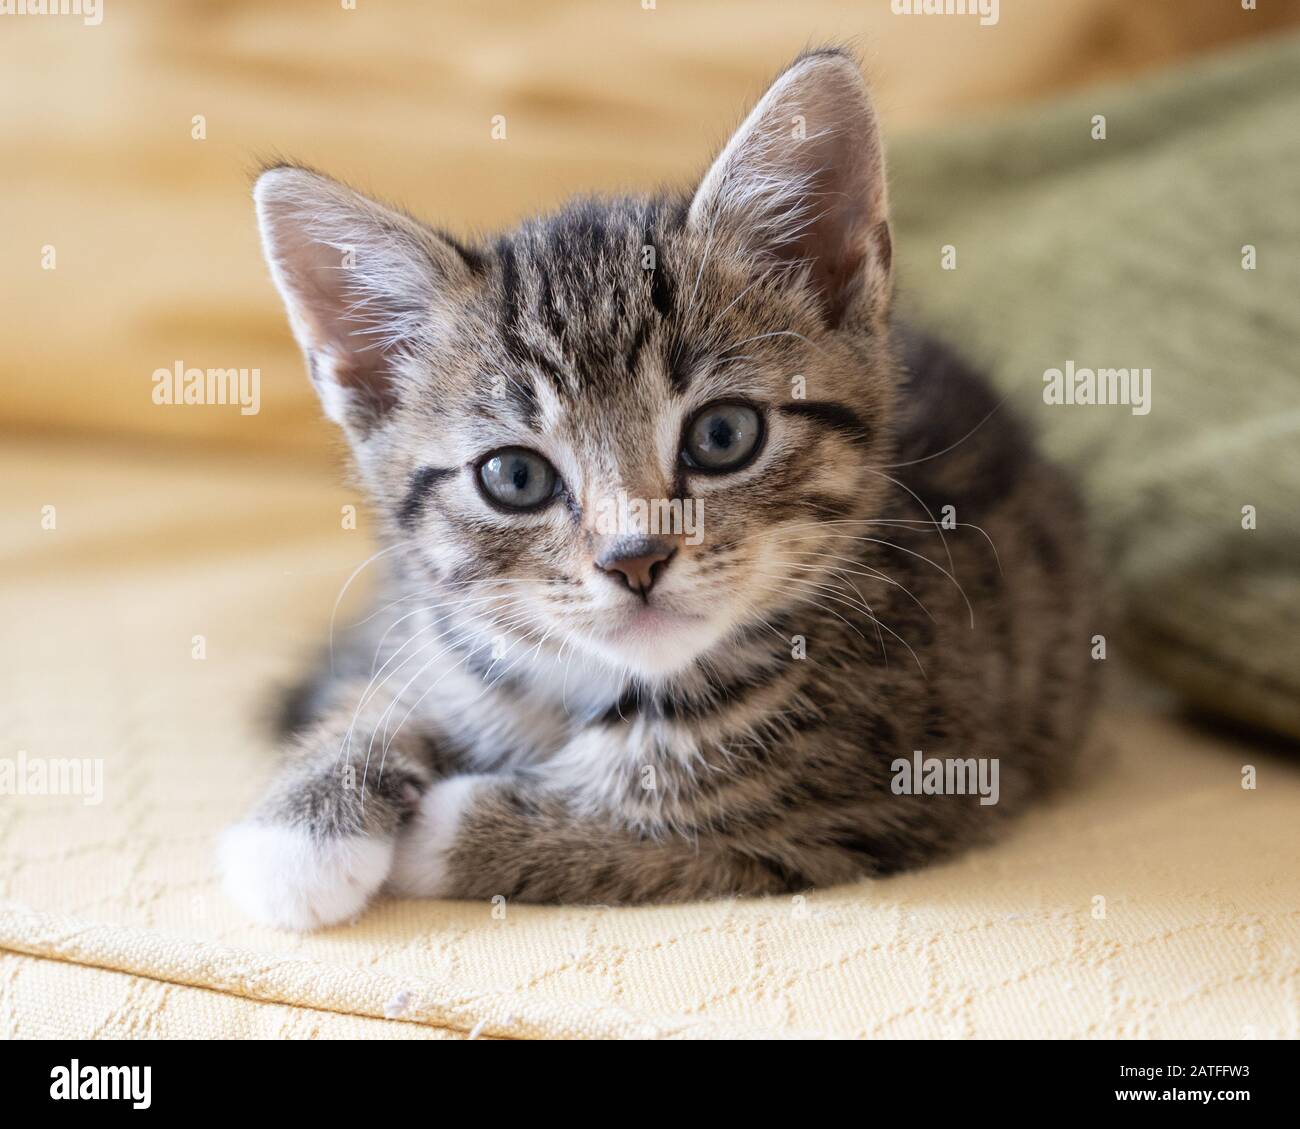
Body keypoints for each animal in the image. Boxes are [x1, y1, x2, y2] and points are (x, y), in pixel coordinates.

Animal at [220, 48, 1097, 931]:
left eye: (723, 435)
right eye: (515, 476)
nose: (634, 558)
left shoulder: (888, 801)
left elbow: (665, 823)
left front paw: (445, 825)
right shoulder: (437, 628)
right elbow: (398, 679)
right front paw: (301, 822)